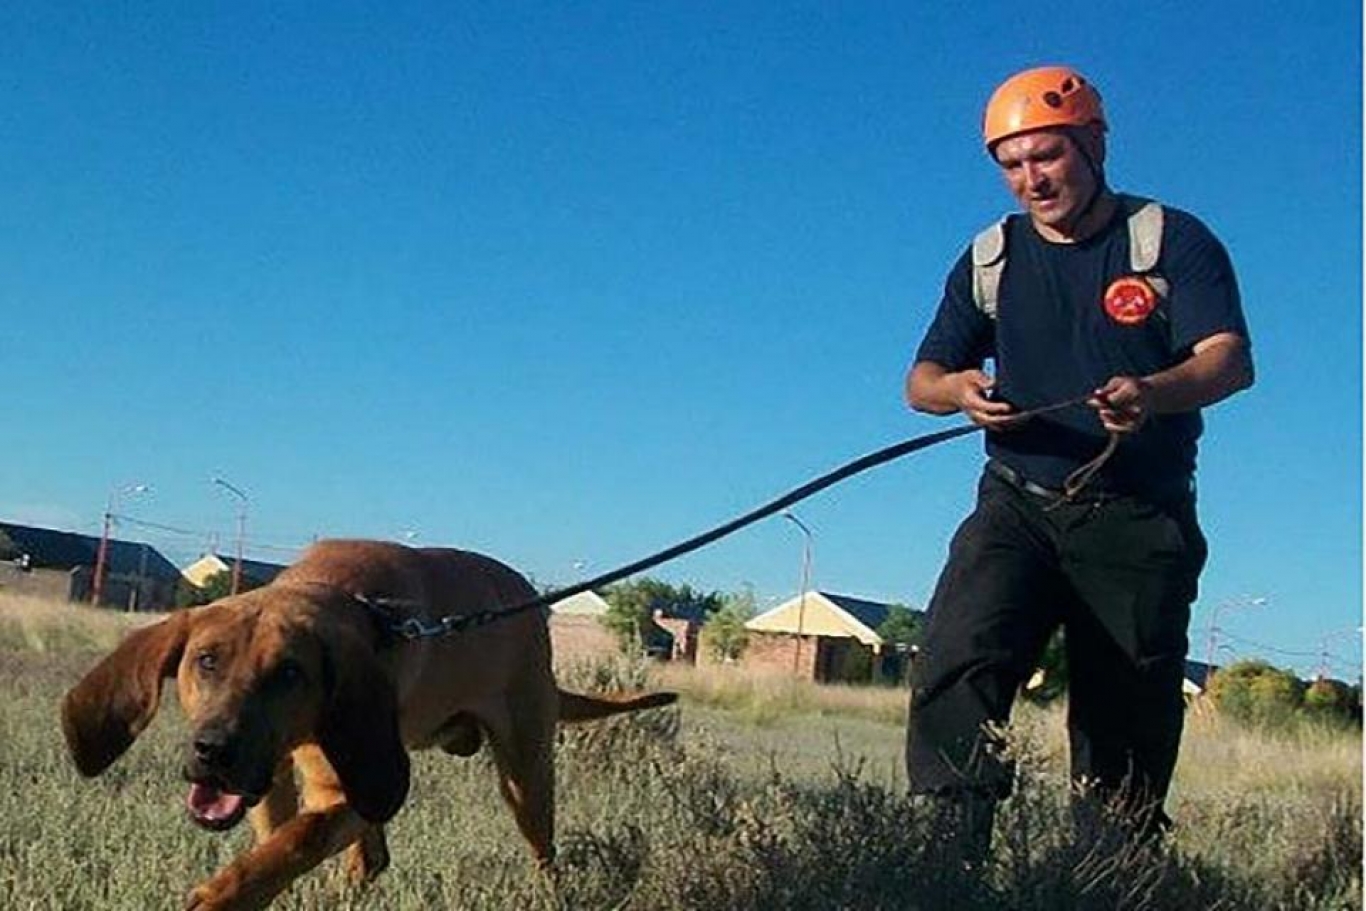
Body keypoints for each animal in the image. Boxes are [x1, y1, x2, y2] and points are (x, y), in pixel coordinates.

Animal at [60, 540, 677, 911]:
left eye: (289, 673)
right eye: (206, 661)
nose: (214, 752)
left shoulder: (360, 784)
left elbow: (297, 839)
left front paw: (224, 896)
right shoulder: (283, 776)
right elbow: (278, 836)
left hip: (524, 772)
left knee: (543, 850)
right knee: (371, 857)